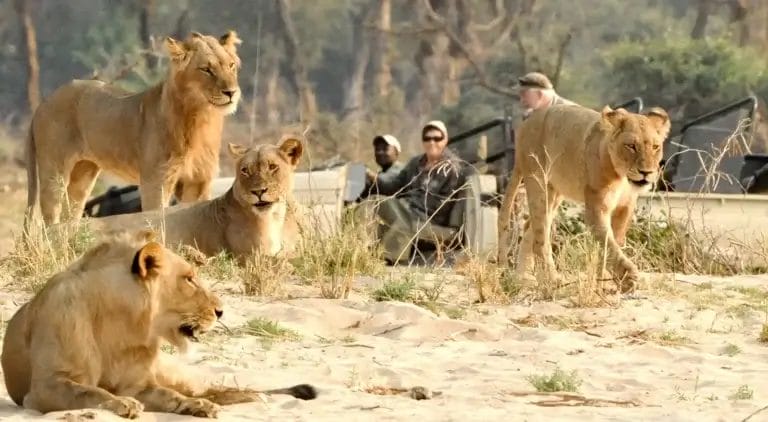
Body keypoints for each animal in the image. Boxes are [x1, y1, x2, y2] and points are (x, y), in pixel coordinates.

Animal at [1, 230, 317, 419]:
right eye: (189, 279)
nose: (221, 311)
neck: (122, 324)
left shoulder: (140, 383)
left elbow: (168, 394)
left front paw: (196, 406)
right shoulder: (45, 387)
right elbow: (88, 391)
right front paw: (122, 404)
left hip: (176, 372)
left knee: (209, 386)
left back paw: (246, 397)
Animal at [25, 30, 243, 227]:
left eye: (231, 65)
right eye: (206, 69)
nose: (231, 92)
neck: (202, 118)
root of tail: (43, 103)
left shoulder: (198, 181)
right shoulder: (155, 182)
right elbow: (158, 222)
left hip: (83, 174)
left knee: (70, 217)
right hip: (54, 172)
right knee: (50, 220)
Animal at [89, 136, 304, 262]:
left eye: (273, 167)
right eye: (245, 170)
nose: (258, 191)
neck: (275, 216)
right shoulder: (249, 255)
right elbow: (286, 259)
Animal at [497, 104, 670, 293]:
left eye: (655, 147)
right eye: (631, 146)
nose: (646, 172)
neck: (622, 177)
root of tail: (526, 123)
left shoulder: (626, 206)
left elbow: (614, 241)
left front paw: (606, 280)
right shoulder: (597, 206)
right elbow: (607, 243)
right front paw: (627, 276)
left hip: (555, 193)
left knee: (531, 228)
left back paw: (523, 278)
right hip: (538, 182)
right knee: (540, 236)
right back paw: (551, 279)